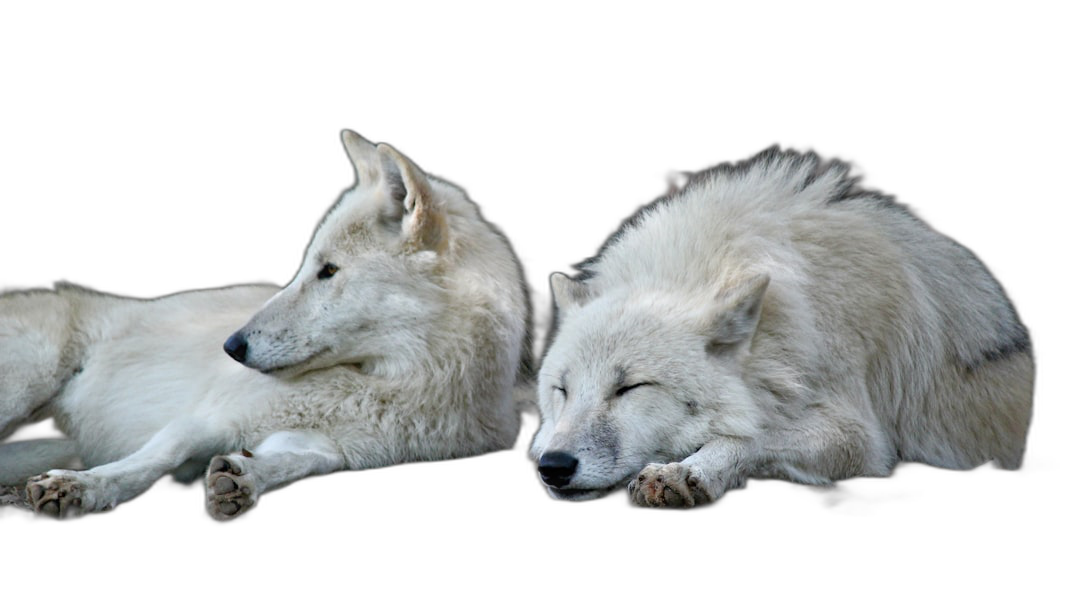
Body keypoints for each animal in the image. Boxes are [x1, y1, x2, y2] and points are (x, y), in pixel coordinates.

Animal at [0, 130, 529, 518]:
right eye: (308, 267)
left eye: (328, 271)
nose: (231, 347)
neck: (392, 383)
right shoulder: (204, 416)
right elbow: (151, 459)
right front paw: (82, 489)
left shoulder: (331, 447)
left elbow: (300, 461)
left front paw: (242, 477)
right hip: (24, 387)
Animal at [531, 150, 1028, 505]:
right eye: (562, 391)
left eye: (629, 388)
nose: (553, 466)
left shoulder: (860, 436)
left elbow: (753, 435)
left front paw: (686, 471)